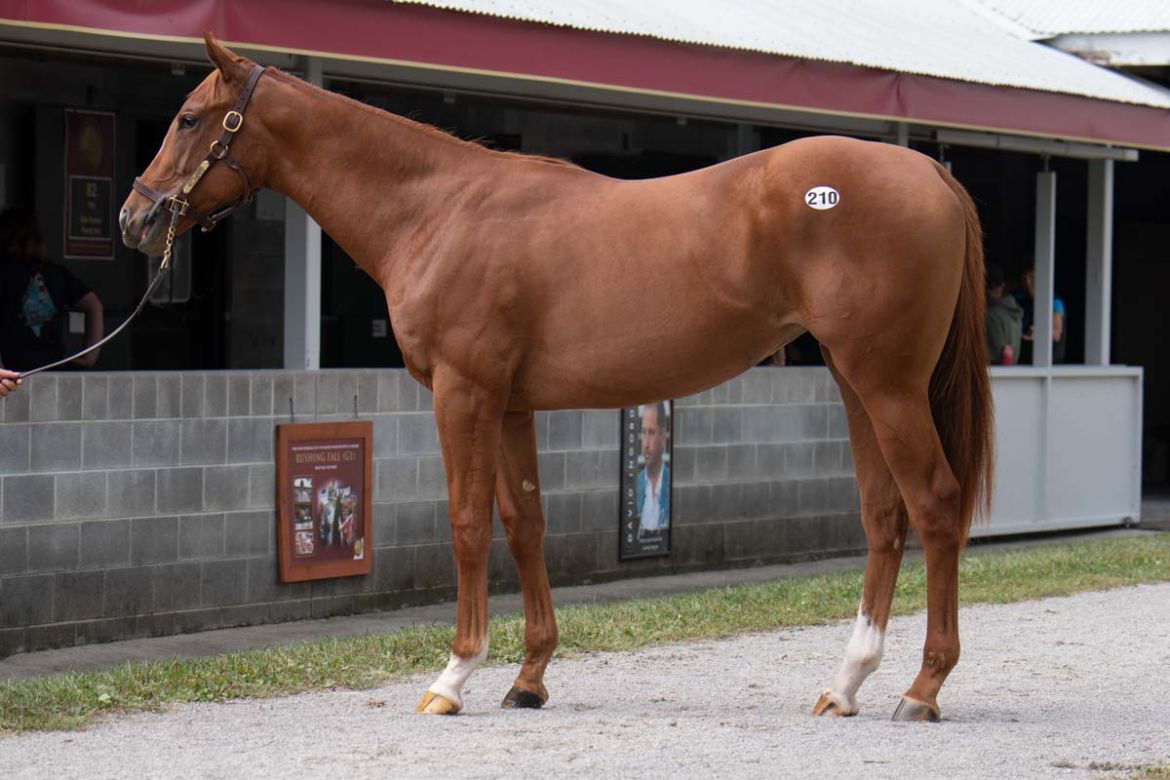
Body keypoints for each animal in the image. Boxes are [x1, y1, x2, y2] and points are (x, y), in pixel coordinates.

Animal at [121, 34, 993, 723]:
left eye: (189, 118)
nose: (136, 218)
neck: (437, 209)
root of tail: (932, 174)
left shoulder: (463, 393)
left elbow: (467, 523)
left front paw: (454, 675)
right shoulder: (510, 406)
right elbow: (524, 522)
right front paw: (529, 677)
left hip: (887, 386)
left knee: (934, 505)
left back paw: (922, 688)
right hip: (855, 382)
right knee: (883, 516)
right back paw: (846, 683)